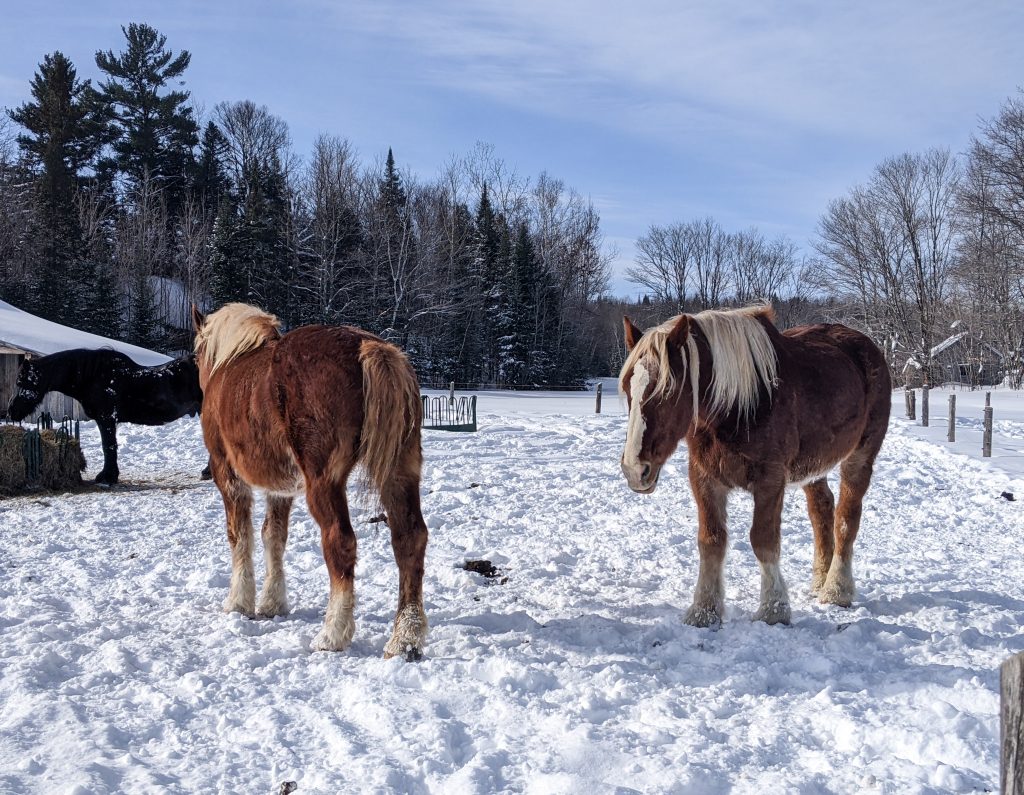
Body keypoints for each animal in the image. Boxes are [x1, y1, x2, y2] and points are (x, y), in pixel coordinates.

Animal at [6, 348, 203, 483]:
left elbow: (108, 446)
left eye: (22, 382)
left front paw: (107, 477)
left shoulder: (106, 419)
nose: (11, 411)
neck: (93, 376)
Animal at [192, 299, 428, 659]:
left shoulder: (228, 476)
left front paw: (239, 603)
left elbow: (240, 536)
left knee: (341, 541)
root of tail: (368, 346)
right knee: (410, 539)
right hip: (400, 471)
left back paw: (332, 634)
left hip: (324, 483)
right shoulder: (280, 489)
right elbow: (273, 536)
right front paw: (272, 603)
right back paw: (405, 639)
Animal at [618, 305, 892, 626]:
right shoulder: (704, 478)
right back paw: (820, 581)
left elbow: (763, 540)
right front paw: (704, 611)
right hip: (814, 467)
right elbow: (710, 541)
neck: (738, 405)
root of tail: (866, 345)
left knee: (846, 517)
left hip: (860, 456)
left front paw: (773, 610)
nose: (635, 470)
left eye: (667, 391)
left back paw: (837, 590)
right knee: (821, 510)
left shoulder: (770, 481)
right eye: (628, 389)